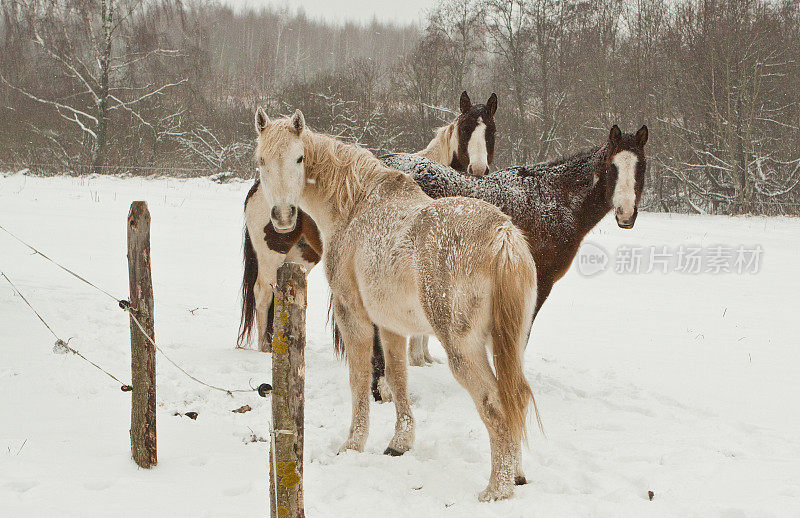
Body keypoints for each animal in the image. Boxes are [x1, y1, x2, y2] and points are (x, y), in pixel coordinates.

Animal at [239, 91, 500, 364]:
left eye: (491, 131)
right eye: (465, 129)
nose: (478, 169)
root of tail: (256, 188)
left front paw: (425, 358)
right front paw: (417, 359)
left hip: (301, 255)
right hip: (271, 255)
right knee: (262, 294)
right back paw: (264, 347)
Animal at [255, 109, 544, 504]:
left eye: (299, 158)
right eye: (261, 160)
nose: (283, 216)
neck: (355, 206)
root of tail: (501, 235)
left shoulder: (354, 317)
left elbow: (360, 378)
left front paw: (353, 444)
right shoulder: (391, 325)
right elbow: (397, 376)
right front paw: (400, 442)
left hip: (464, 349)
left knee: (496, 406)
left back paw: (496, 490)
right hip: (508, 344)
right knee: (515, 400)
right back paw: (515, 475)